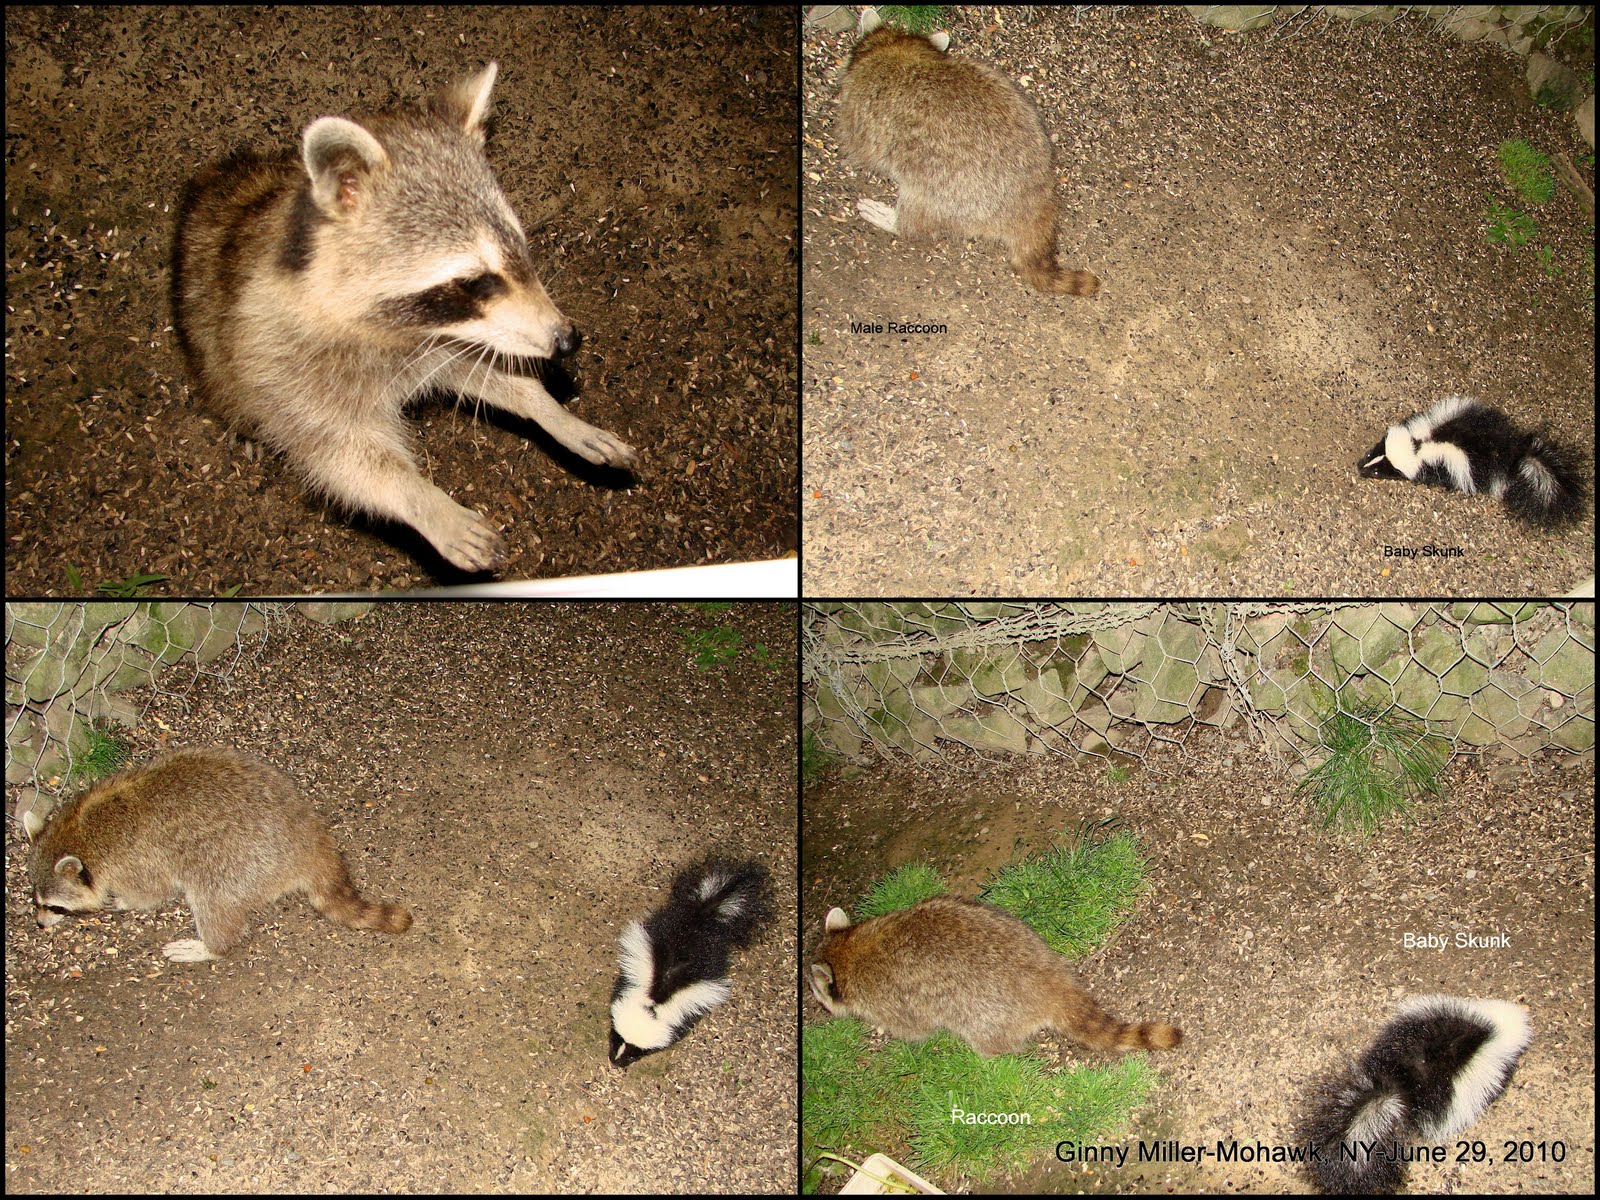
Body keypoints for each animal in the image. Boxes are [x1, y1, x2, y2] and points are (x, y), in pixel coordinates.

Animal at [27, 748, 412, 962]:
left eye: (54, 906)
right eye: (37, 901)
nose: (40, 924)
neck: (80, 831)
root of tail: (310, 838)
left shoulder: (135, 859)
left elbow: (151, 892)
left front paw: (123, 901)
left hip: (237, 860)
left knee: (214, 899)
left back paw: (211, 946)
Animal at [172, 63, 639, 573]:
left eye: (521, 250)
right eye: (477, 281)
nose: (567, 339)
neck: (401, 331)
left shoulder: (446, 337)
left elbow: (484, 368)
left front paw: (550, 410)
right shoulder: (287, 364)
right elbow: (344, 458)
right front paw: (426, 502)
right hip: (209, 342)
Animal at [808, 898, 1181, 1057]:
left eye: (814, 990)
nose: (817, 1004)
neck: (848, 950)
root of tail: (1048, 979)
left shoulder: (891, 1000)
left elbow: (915, 1029)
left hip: (984, 1014)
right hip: (1018, 931)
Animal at [836, 12, 1099, 296]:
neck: (899, 50)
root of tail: (1032, 205)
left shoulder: (863, 107)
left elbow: (860, 146)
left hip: (948, 192)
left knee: (918, 212)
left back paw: (894, 221)